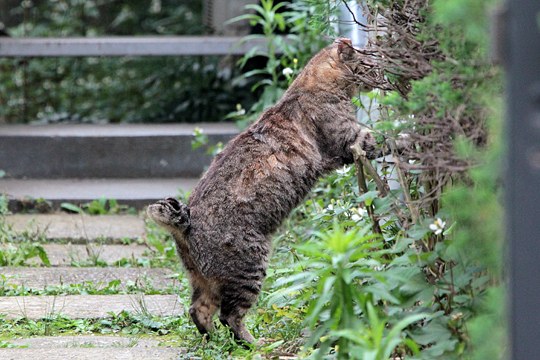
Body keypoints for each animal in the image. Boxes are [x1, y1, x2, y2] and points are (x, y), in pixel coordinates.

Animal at [146, 38, 398, 344]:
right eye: (370, 65)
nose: (384, 76)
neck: (314, 86)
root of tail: (185, 221)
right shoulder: (353, 140)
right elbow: (389, 139)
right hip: (250, 266)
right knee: (229, 316)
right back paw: (253, 344)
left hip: (202, 279)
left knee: (198, 310)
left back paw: (213, 341)